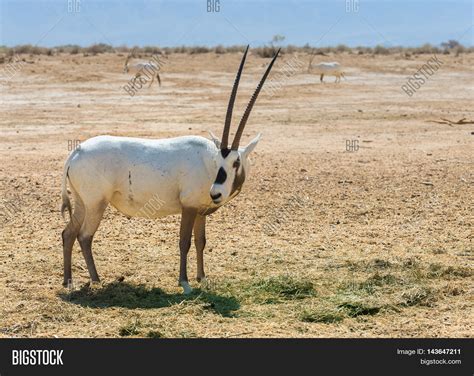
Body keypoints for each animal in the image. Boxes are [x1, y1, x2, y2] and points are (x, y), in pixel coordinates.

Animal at [61, 46, 280, 294]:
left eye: (236, 162)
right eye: (220, 160)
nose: (216, 193)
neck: (207, 162)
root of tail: (75, 153)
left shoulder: (200, 210)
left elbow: (200, 241)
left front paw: (202, 278)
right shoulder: (189, 206)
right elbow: (184, 242)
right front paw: (185, 283)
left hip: (82, 202)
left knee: (68, 233)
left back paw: (69, 281)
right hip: (96, 204)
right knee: (84, 236)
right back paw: (96, 280)